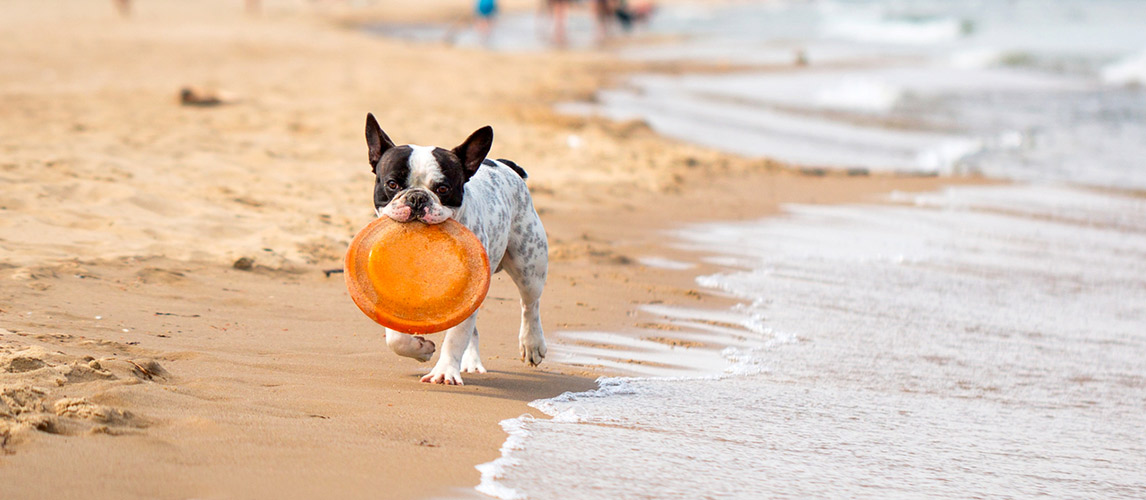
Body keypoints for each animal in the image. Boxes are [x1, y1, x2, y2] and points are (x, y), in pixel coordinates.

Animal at [364, 114, 547, 387]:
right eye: (392, 184)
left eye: (443, 189)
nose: (417, 197)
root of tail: (504, 165)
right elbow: (395, 337)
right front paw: (419, 349)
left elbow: (455, 337)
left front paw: (444, 372)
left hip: (529, 263)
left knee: (530, 305)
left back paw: (532, 344)